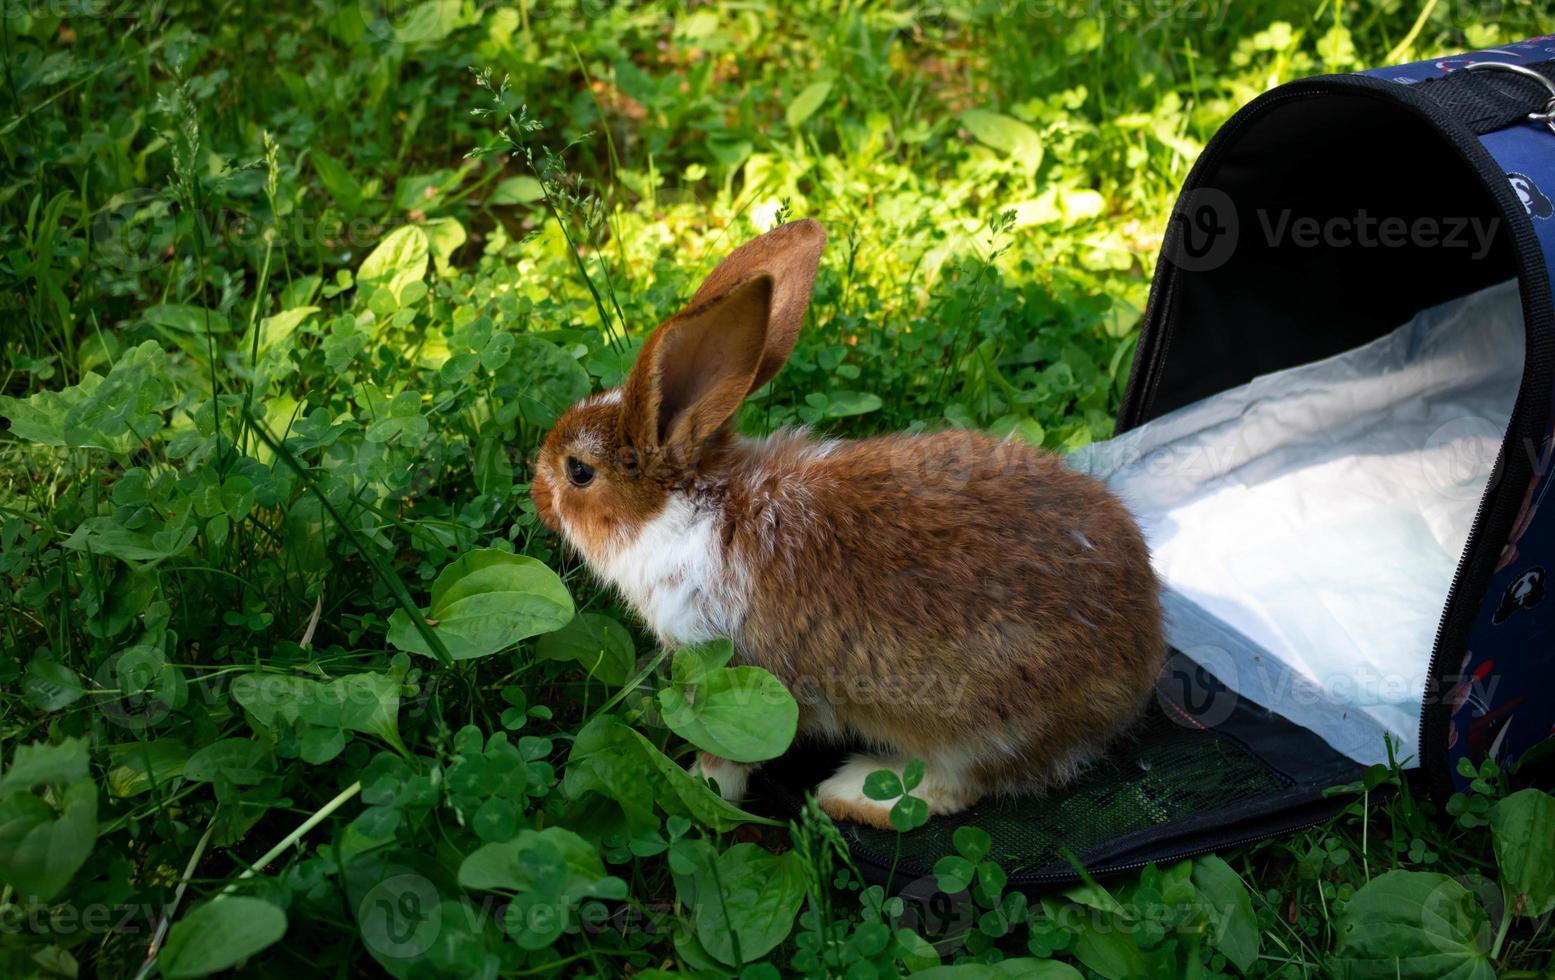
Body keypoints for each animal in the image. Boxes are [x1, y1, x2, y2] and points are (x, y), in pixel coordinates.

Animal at [534, 220, 1169, 827]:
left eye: (578, 471)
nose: (538, 493)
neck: (688, 508)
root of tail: (1141, 658)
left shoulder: (736, 668)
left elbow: (728, 758)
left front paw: (693, 790)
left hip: (978, 723)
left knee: (959, 784)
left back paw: (850, 794)